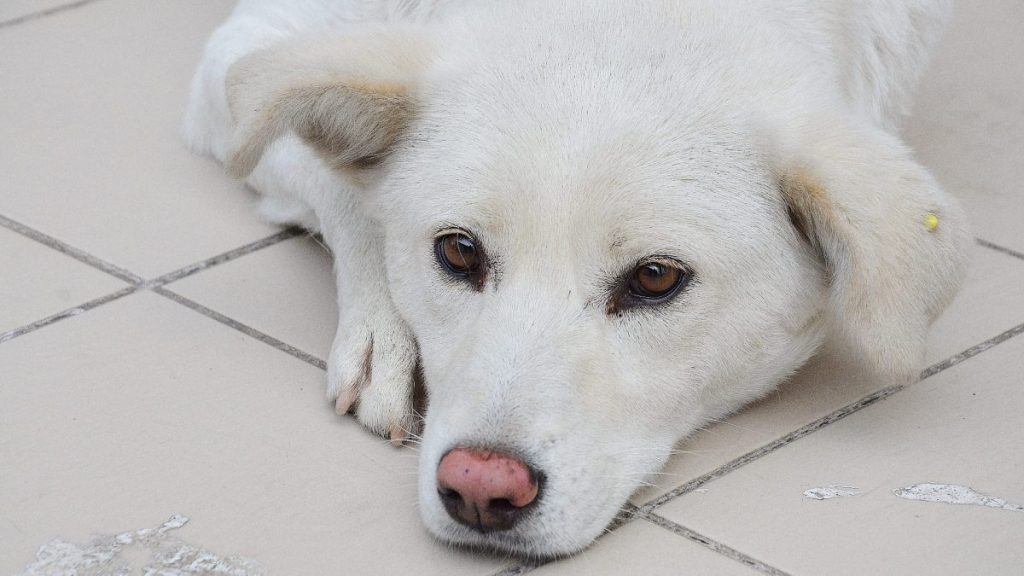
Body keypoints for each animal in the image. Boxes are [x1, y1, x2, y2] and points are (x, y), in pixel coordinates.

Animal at [186, 0, 966, 557]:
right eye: (458, 253)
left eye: (655, 278)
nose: (480, 488)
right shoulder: (245, 55)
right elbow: (344, 188)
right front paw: (382, 336)